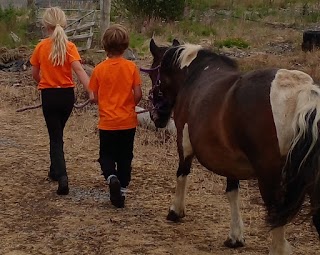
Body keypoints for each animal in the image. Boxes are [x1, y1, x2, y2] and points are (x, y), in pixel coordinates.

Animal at [149, 38, 320, 254]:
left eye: (154, 76)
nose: (157, 117)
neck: (194, 74)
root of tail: (301, 93)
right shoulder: (230, 160)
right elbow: (232, 192)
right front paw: (235, 237)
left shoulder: (184, 142)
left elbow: (182, 174)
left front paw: (175, 211)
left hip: (269, 176)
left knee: (276, 211)